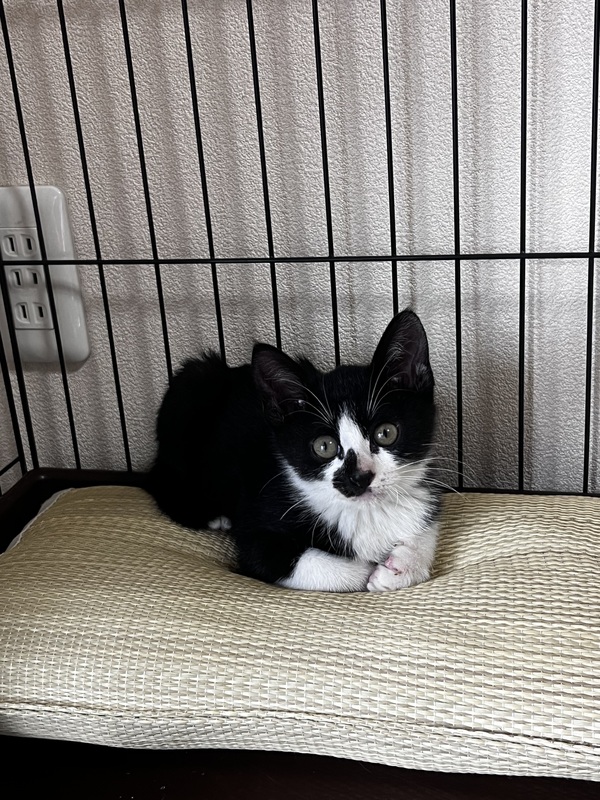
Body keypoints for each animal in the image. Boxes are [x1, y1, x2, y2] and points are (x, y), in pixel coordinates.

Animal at [146, 308, 440, 592]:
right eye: (324, 446)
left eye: (386, 433)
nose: (359, 477)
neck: (364, 513)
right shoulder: (258, 528)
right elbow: (288, 562)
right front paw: (368, 569)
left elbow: (428, 527)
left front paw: (402, 566)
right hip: (194, 386)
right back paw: (213, 516)